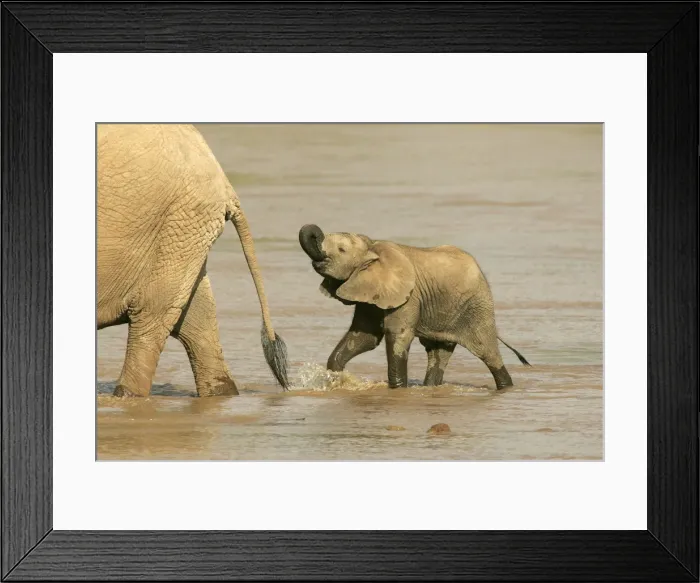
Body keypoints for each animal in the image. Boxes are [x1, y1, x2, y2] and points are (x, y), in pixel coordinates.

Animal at [97, 124, 288, 397]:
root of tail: (225, 182)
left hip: (176, 224)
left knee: (150, 315)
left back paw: (127, 396)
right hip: (183, 229)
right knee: (196, 318)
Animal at [298, 224, 530, 390]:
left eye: (341, 250)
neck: (372, 244)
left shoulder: (409, 297)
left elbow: (397, 336)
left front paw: (398, 388)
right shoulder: (371, 294)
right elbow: (364, 336)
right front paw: (335, 376)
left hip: (477, 306)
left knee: (488, 353)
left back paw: (506, 386)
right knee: (438, 353)